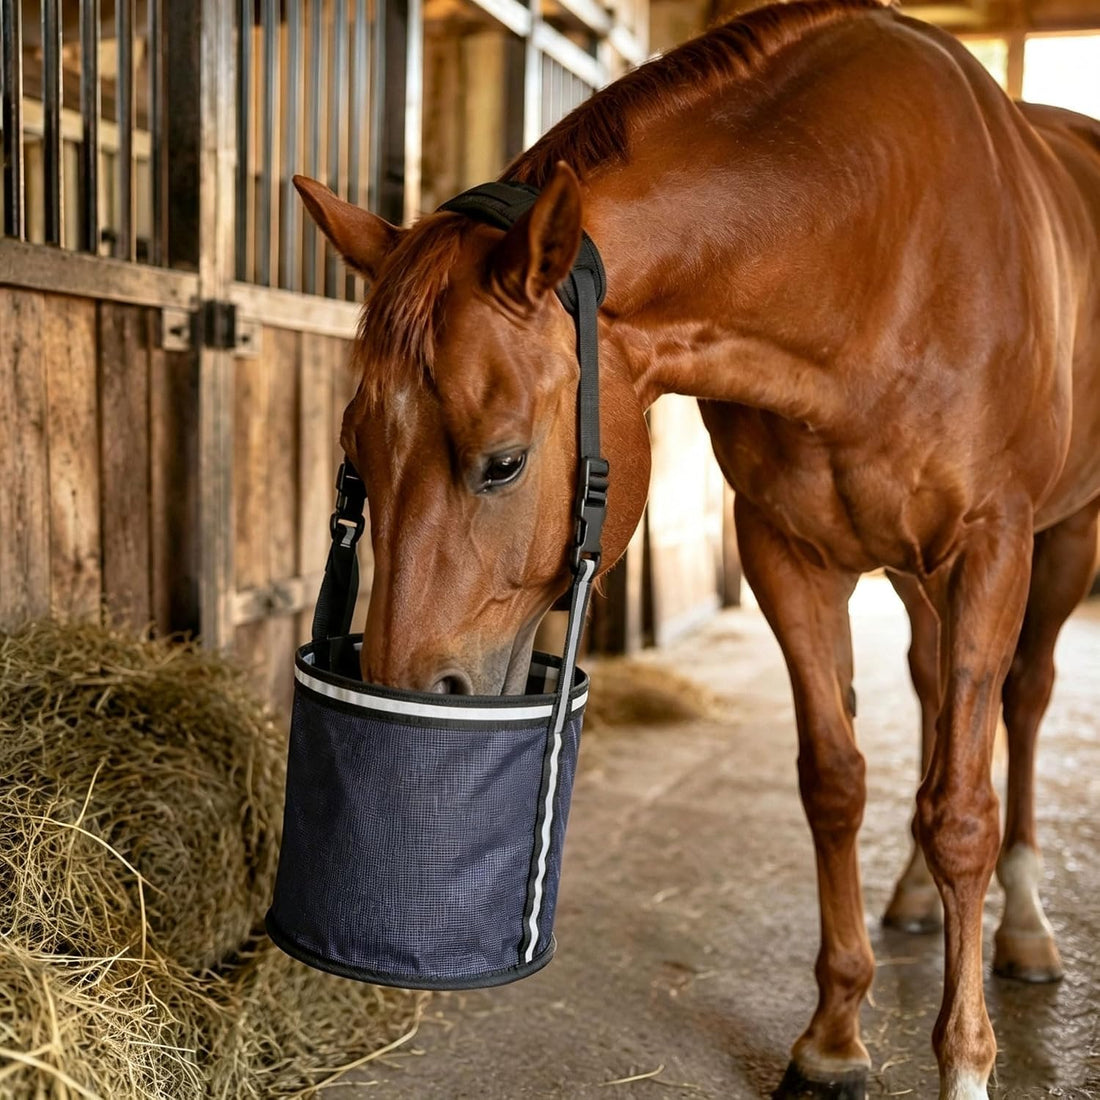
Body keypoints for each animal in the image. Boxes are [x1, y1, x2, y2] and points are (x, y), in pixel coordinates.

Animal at [291, 1, 1100, 1095]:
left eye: (502, 462)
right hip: (910, 573)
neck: (879, 245)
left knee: (1020, 704)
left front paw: (965, 1061)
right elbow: (834, 780)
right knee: (936, 696)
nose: (416, 685)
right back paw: (914, 900)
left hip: (1056, 545)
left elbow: (963, 808)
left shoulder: (989, 549)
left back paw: (1022, 930)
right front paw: (832, 1037)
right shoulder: (787, 554)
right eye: (357, 460)